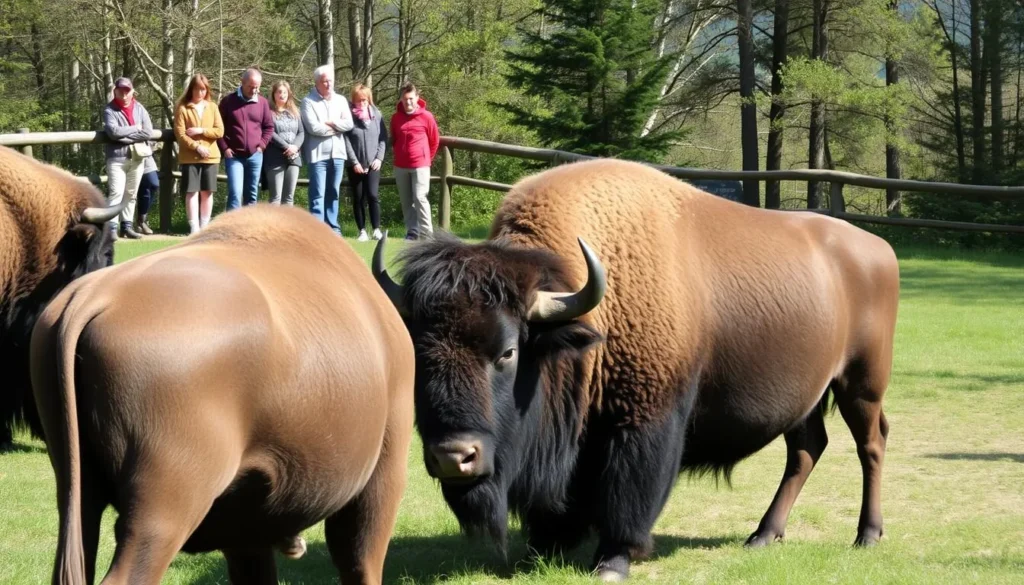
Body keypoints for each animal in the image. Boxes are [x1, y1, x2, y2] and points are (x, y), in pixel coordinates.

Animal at [31, 205, 414, 584]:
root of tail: (93, 297)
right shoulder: (381, 477)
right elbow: (359, 563)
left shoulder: (245, 530)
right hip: (164, 504)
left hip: (78, 492)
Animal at [373, 159, 900, 581]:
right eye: (420, 354)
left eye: (507, 352)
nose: (453, 457)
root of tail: (879, 249)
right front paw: (542, 550)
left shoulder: (644, 420)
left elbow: (628, 493)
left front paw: (611, 562)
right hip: (808, 397)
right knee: (806, 449)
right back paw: (764, 535)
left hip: (860, 385)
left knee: (870, 444)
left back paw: (867, 535)